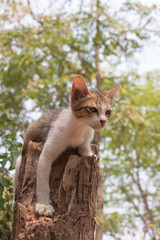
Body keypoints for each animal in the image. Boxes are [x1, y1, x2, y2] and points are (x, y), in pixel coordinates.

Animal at [12, 75, 120, 216]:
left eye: (108, 112)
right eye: (92, 109)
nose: (103, 121)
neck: (80, 128)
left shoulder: (87, 135)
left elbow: (84, 146)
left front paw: (88, 153)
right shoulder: (47, 152)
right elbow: (42, 181)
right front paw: (43, 205)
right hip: (20, 161)